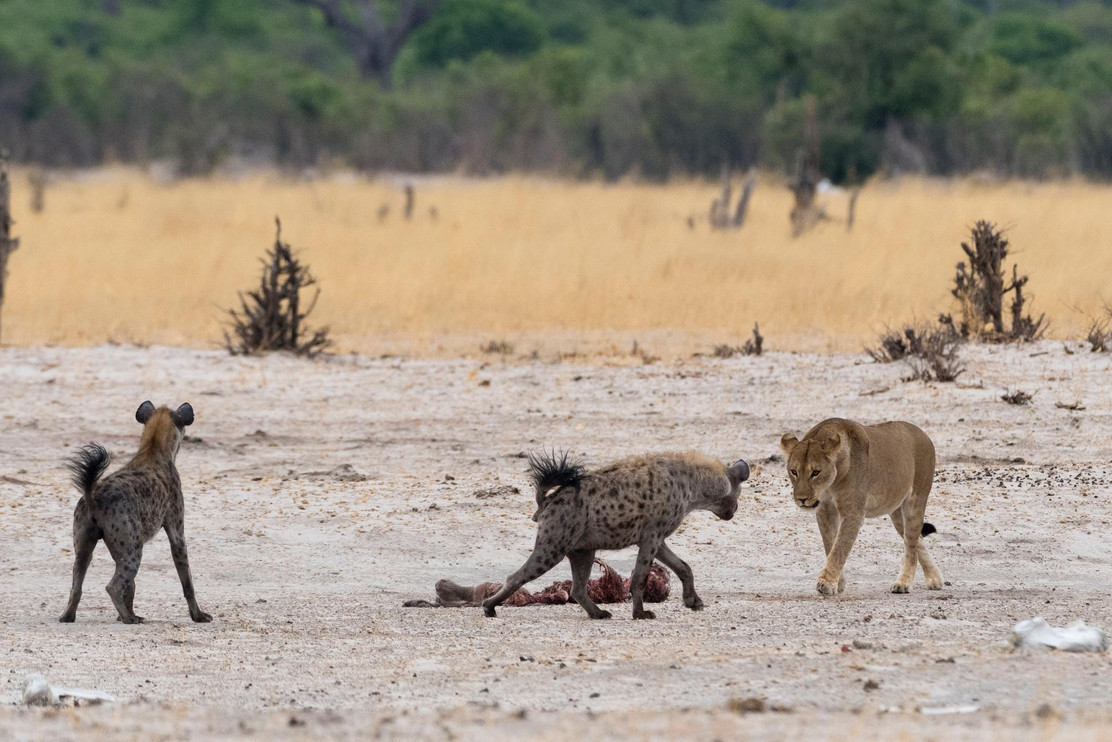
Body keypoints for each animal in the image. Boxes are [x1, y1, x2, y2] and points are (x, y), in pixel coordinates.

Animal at [779, 418, 942, 596]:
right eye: (794, 471)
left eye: (815, 472)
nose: (801, 499)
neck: (831, 484)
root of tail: (924, 434)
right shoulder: (825, 511)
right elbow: (830, 545)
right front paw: (838, 582)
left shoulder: (853, 514)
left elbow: (839, 548)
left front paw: (826, 583)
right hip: (897, 514)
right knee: (918, 541)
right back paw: (935, 579)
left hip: (915, 502)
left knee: (911, 547)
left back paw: (903, 583)